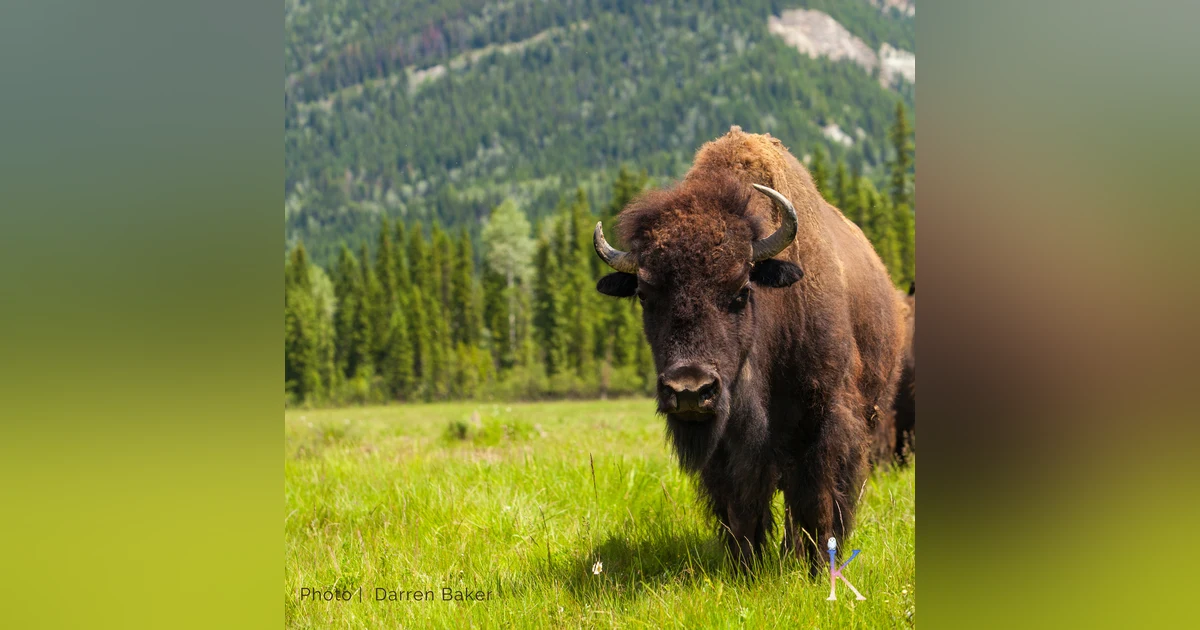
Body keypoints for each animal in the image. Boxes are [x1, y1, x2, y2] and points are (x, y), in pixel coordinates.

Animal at [594, 127, 905, 572]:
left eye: (741, 290)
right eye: (644, 295)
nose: (690, 390)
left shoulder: (824, 417)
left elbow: (820, 499)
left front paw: (816, 569)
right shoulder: (728, 443)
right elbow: (741, 504)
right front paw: (746, 566)